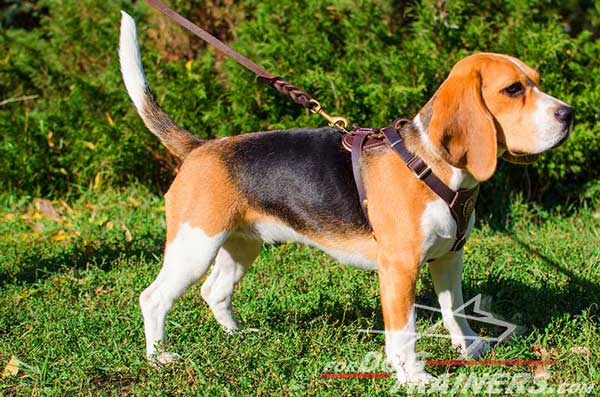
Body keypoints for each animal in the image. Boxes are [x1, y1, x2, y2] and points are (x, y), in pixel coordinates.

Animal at [117, 13, 572, 384]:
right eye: (512, 90)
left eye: (536, 80)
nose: (569, 114)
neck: (433, 165)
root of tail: (199, 147)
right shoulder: (399, 268)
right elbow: (403, 330)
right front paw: (412, 376)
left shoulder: (449, 257)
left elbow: (454, 310)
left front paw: (469, 346)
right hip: (195, 245)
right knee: (153, 298)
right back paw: (160, 358)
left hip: (241, 244)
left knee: (215, 291)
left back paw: (237, 335)